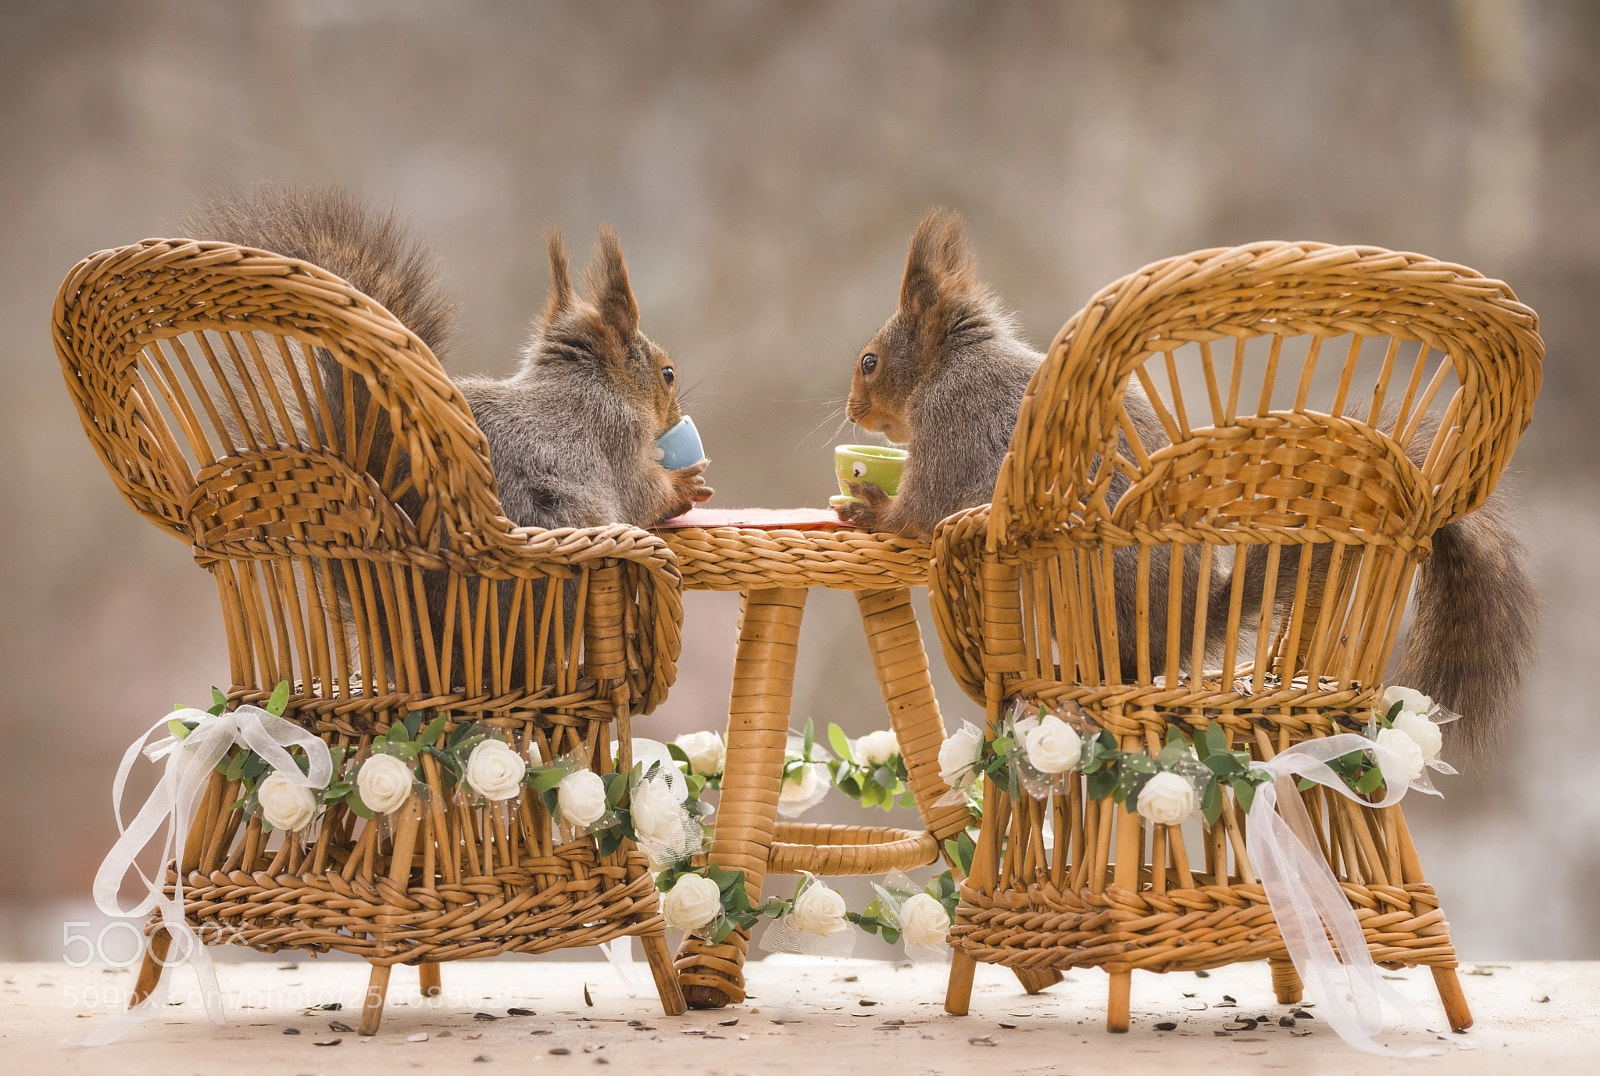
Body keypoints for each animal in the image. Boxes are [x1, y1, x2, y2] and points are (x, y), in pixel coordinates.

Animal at [839, 208, 1538, 759]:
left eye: (869, 361)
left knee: (1132, 668)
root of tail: (1186, 626)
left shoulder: (953, 430)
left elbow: (918, 513)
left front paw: (870, 507)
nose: (852, 410)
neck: (949, 366)